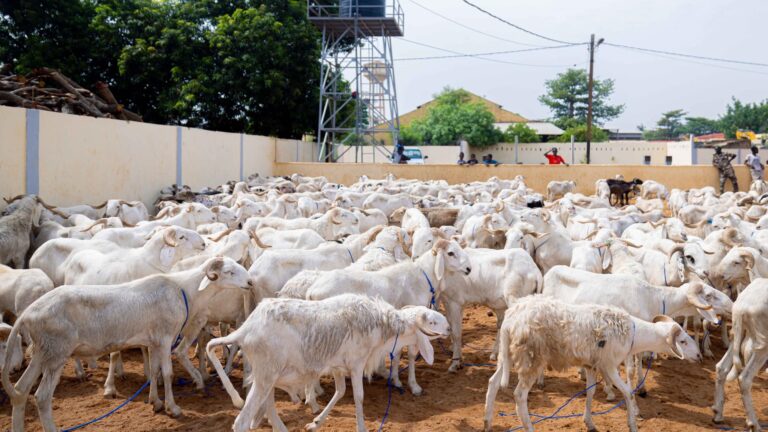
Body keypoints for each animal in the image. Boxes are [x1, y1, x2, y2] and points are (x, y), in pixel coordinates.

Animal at [1, 257, 253, 432]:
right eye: (229, 271)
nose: (250, 282)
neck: (182, 289)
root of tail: (28, 313)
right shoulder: (165, 339)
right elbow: (168, 373)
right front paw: (173, 408)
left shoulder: (153, 341)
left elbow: (155, 371)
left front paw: (155, 402)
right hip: (56, 354)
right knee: (42, 397)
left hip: (42, 353)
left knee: (21, 390)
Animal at [206, 294, 450, 432]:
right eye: (432, 321)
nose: (448, 329)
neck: (381, 324)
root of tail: (245, 329)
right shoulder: (356, 363)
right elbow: (358, 397)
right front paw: (361, 427)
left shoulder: (338, 367)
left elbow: (340, 392)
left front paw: (315, 423)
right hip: (266, 375)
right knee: (242, 422)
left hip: (266, 376)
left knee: (268, 406)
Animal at [483, 295, 702, 432]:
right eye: (683, 341)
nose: (699, 356)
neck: (634, 334)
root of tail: (510, 319)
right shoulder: (609, 365)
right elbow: (628, 393)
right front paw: (632, 424)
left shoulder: (591, 365)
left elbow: (590, 392)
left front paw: (589, 422)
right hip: (531, 358)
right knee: (520, 395)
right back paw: (528, 427)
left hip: (508, 354)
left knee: (493, 383)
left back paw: (487, 422)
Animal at [711, 278, 768, 431]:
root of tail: (741, 306)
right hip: (763, 345)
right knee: (744, 379)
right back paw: (754, 424)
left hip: (739, 334)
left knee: (721, 368)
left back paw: (718, 414)